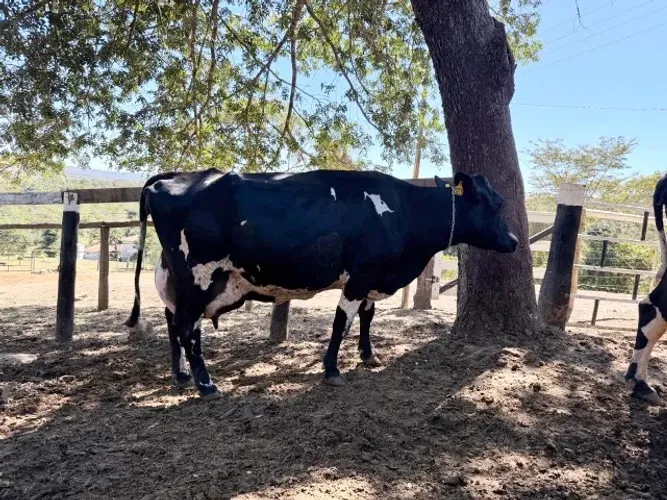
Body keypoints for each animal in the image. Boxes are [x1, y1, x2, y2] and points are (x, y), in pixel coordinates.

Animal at [124, 168, 518, 397]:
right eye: (497, 204)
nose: (514, 240)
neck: (404, 212)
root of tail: (171, 178)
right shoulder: (358, 277)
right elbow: (341, 323)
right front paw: (332, 369)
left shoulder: (371, 279)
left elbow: (367, 318)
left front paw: (369, 355)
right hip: (198, 276)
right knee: (187, 328)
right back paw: (206, 385)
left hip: (182, 281)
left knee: (174, 323)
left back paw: (181, 375)